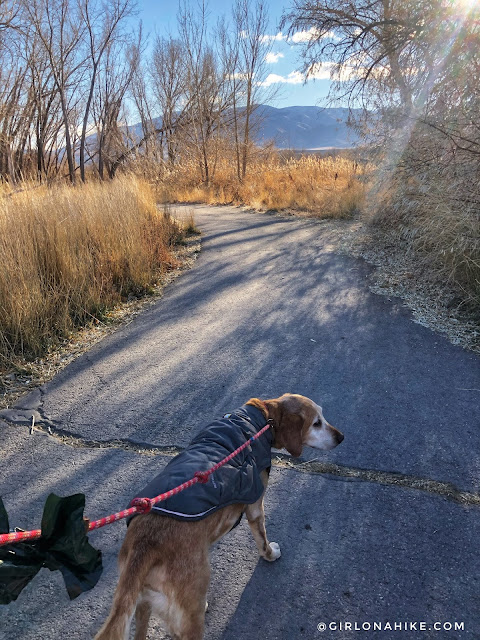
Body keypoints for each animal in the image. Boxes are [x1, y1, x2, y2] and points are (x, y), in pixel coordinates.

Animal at [94, 396, 342, 640]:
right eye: (316, 423)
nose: (341, 437)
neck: (261, 419)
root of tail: (144, 546)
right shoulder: (255, 506)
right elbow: (262, 539)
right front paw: (270, 554)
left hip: (143, 605)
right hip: (190, 616)